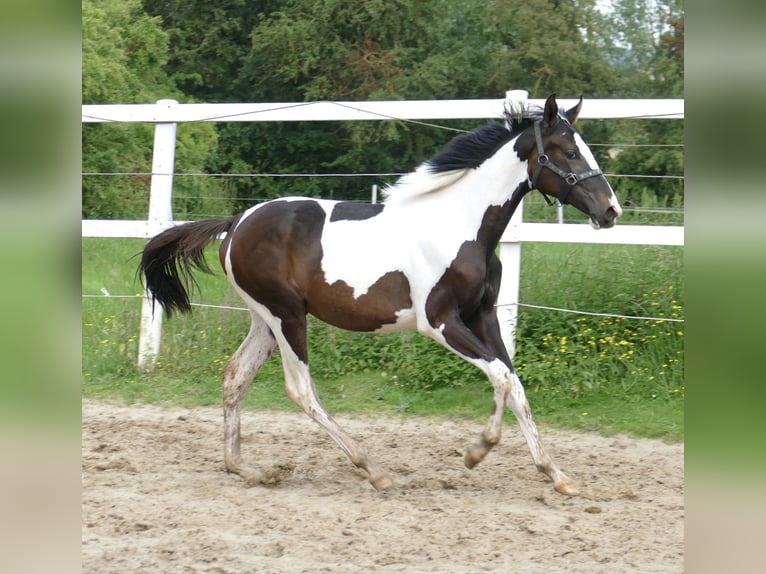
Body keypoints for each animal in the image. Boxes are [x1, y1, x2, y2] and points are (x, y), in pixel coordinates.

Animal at [140, 93, 624, 496]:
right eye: (569, 151)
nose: (610, 211)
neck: (462, 226)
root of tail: (236, 222)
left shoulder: (483, 316)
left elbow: (513, 381)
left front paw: (557, 476)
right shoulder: (440, 321)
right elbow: (502, 378)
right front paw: (477, 451)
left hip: (264, 319)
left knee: (235, 377)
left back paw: (247, 469)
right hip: (287, 316)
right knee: (301, 390)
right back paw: (373, 470)